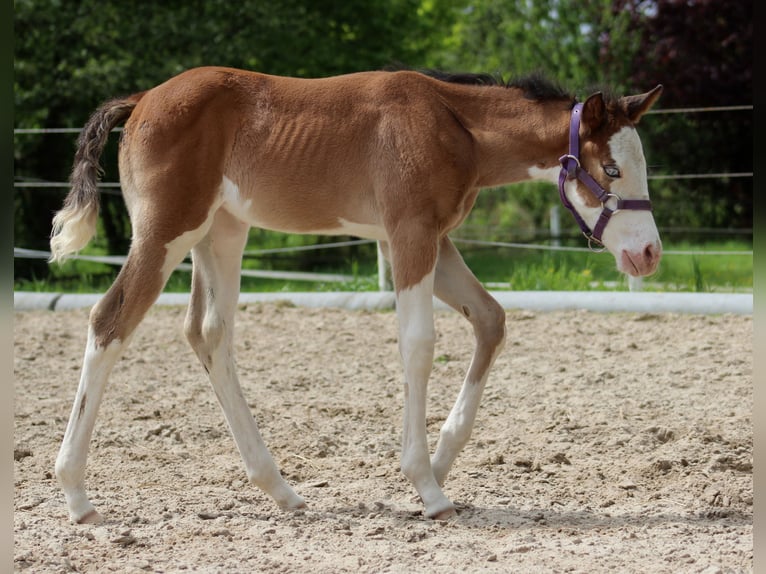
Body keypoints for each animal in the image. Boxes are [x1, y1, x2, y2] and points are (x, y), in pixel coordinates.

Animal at [49, 65, 664, 524]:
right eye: (611, 168)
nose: (649, 254)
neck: (453, 124)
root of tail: (142, 100)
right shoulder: (411, 233)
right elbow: (419, 344)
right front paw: (427, 488)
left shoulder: (432, 239)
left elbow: (490, 319)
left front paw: (440, 464)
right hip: (167, 231)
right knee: (110, 321)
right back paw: (76, 493)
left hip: (220, 232)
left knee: (208, 333)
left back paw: (280, 489)